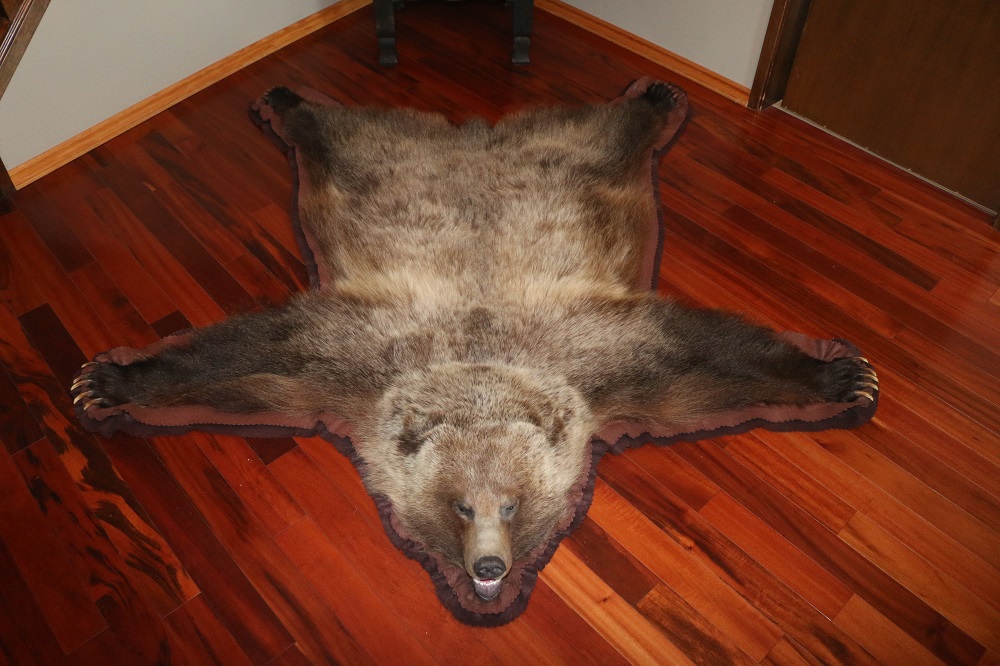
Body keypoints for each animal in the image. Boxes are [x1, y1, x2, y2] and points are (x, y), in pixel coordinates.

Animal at [71, 82, 877, 603]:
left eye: (513, 505)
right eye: (461, 506)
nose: (488, 571)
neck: (480, 363)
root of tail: (476, 137)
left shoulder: (600, 359)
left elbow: (709, 358)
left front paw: (847, 377)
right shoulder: (355, 359)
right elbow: (252, 355)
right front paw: (102, 381)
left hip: (576, 161)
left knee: (607, 128)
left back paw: (653, 96)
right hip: (375, 164)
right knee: (341, 131)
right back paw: (287, 101)